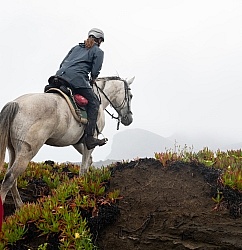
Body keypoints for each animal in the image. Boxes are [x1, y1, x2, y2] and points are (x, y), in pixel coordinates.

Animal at [0, 76, 134, 209]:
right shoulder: (90, 141)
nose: (129, 119)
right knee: (9, 179)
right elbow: (83, 167)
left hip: (14, 150)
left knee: (11, 179)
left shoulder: (77, 142)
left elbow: (88, 162)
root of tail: (16, 104)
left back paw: (20, 208)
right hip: (27, 152)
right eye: (131, 96)